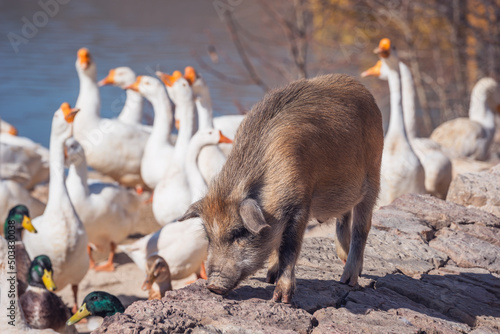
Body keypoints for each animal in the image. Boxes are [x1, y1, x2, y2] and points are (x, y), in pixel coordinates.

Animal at [180, 73, 382, 302]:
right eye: (208, 236)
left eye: (240, 233)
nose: (213, 286)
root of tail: (362, 89)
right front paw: (270, 278)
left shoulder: (301, 203)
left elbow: (289, 246)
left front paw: (280, 298)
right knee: (344, 217)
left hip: (374, 175)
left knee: (362, 227)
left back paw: (348, 280)